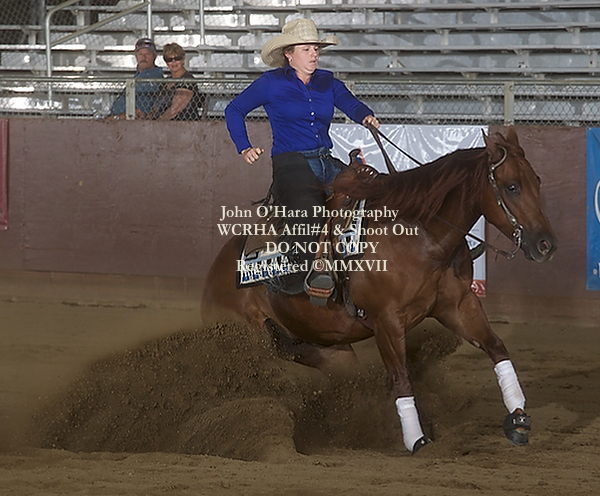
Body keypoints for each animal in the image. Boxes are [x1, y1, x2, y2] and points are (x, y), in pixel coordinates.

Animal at [201, 126, 557, 453]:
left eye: (538, 181)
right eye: (512, 187)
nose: (546, 245)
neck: (419, 235)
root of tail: (216, 272)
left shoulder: (458, 306)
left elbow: (497, 348)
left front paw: (518, 417)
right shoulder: (386, 321)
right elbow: (401, 378)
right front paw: (416, 439)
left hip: (327, 350)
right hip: (248, 341)